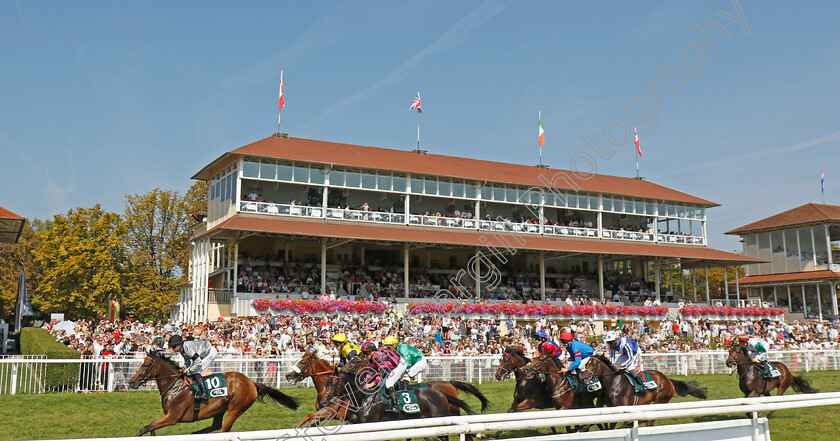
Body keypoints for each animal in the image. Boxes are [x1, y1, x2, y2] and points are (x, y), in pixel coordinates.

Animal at [128, 350, 298, 434]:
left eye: (146, 365)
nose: (131, 382)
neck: (174, 386)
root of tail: (251, 382)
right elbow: (150, 428)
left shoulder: (172, 417)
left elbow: (145, 428)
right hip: (219, 409)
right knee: (216, 426)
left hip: (235, 409)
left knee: (223, 430)